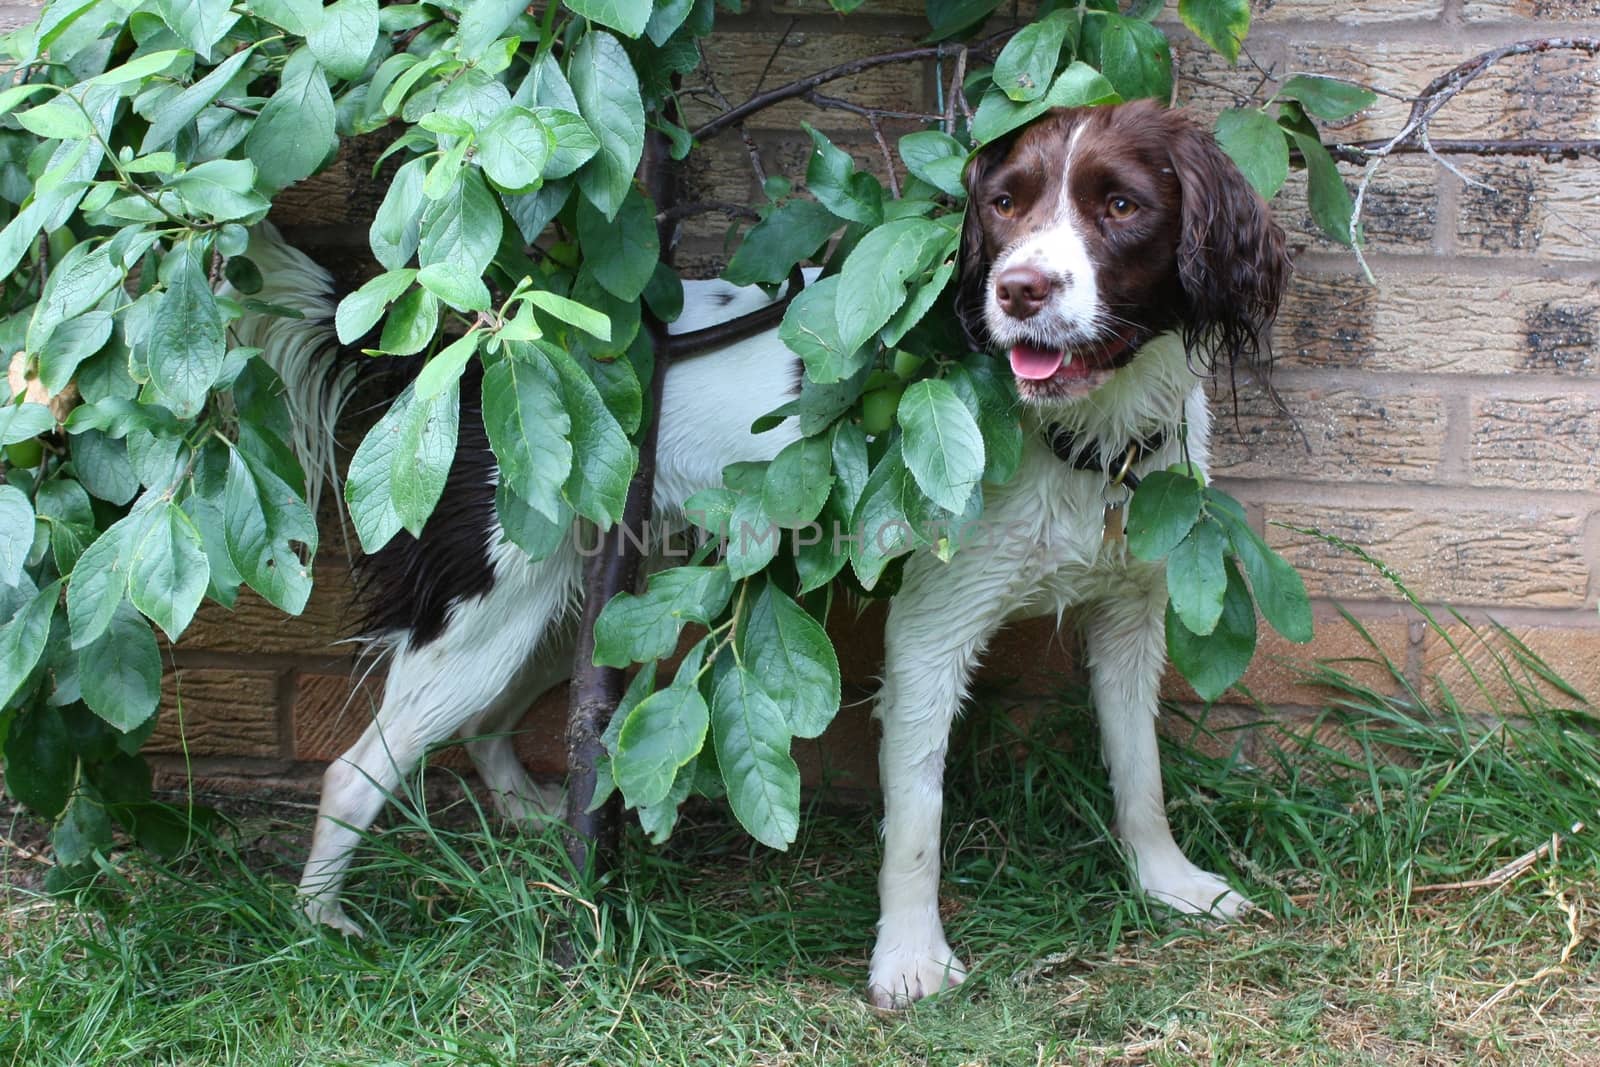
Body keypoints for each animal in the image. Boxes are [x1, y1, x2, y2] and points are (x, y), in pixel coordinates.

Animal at [236, 99, 1286, 1011]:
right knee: (355, 768)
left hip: (581, 609)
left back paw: (535, 814)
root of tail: (480, 352)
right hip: (489, 610)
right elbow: (916, 817)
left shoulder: (1131, 615)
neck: (1078, 435)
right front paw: (909, 962)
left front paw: (1171, 884)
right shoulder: (931, 631)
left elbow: (1141, 775)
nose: (1016, 290)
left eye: (1122, 205)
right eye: (1004, 204)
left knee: (496, 720)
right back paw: (322, 923)